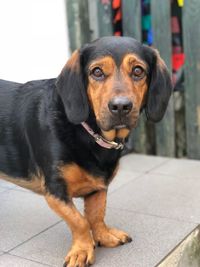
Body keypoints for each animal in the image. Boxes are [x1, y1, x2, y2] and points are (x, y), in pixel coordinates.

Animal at [0, 36, 172, 266]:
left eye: (138, 71)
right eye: (97, 72)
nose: (120, 107)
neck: (89, 133)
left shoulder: (97, 188)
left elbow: (96, 216)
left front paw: (103, 236)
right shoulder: (55, 191)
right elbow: (79, 221)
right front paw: (83, 249)